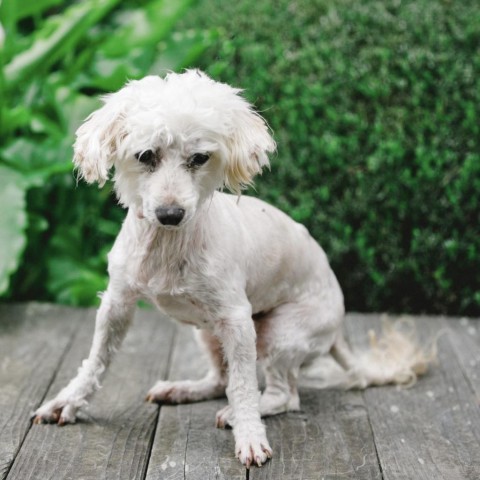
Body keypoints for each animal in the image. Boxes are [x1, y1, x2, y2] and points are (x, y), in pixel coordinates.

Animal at [35, 71, 430, 468]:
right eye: (146, 155)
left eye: (199, 158)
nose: (170, 214)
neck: (168, 245)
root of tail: (337, 332)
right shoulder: (117, 303)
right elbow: (96, 360)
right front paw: (67, 401)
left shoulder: (237, 321)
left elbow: (242, 385)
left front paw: (251, 436)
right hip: (208, 333)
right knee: (218, 380)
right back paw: (183, 390)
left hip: (280, 334)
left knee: (283, 394)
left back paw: (239, 414)